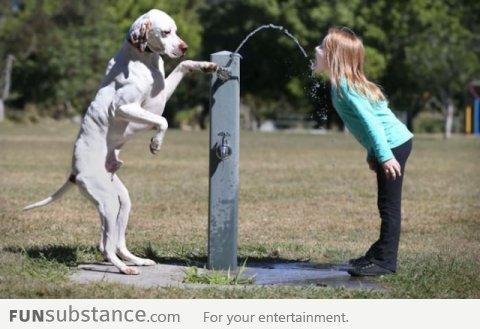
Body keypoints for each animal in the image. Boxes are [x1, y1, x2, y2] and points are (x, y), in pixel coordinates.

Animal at [22, 8, 218, 274]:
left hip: (122, 201)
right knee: (106, 246)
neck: (143, 59)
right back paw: (124, 269)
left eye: (176, 31)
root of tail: (74, 172)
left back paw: (136, 260)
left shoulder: (159, 97)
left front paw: (206, 65)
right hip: (108, 202)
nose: (184, 46)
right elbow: (163, 120)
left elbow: (183, 66)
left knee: (116, 242)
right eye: (166, 32)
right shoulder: (126, 107)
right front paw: (156, 143)